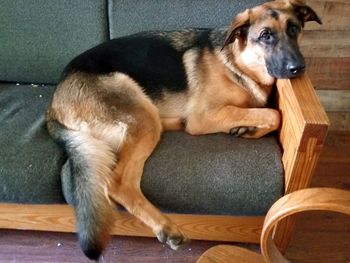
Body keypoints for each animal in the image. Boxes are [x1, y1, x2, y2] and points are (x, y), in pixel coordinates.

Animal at [47, 0, 322, 260]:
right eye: (265, 35)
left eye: (294, 29)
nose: (298, 68)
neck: (238, 63)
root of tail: (54, 106)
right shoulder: (204, 117)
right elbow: (273, 114)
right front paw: (249, 125)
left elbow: (268, 114)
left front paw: (247, 129)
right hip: (141, 114)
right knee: (119, 183)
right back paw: (165, 226)